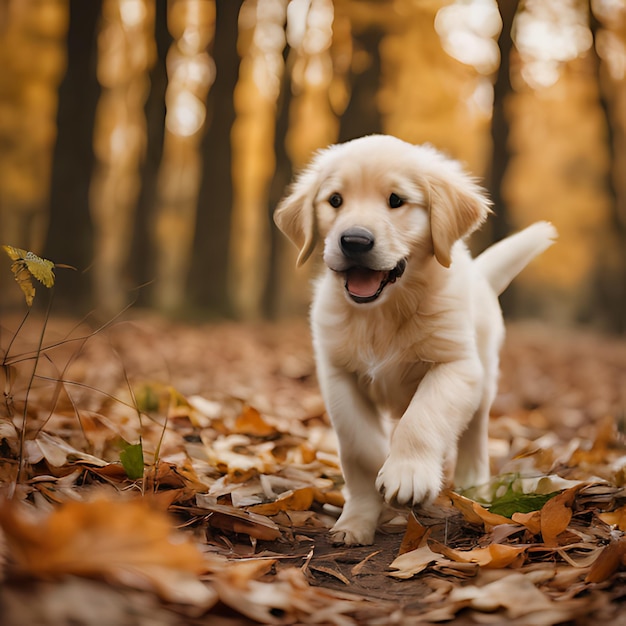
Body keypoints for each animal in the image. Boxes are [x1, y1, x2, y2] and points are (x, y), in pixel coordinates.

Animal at [272, 134, 556, 544]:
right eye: (335, 200)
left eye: (396, 200)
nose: (354, 240)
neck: (385, 311)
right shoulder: (337, 374)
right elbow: (358, 443)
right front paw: (357, 518)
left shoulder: (456, 366)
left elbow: (423, 418)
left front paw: (407, 475)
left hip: (485, 375)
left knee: (473, 433)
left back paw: (472, 486)